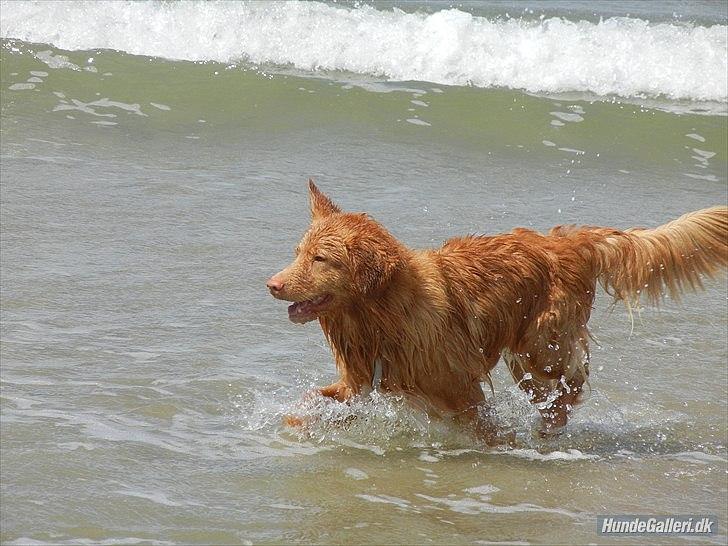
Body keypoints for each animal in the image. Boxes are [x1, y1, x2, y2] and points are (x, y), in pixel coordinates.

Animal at [268, 181, 728, 440]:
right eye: (299, 253)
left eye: (321, 260)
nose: (271, 284)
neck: (383, 315)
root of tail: (569, 241)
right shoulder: (361, 382)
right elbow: (314, 402)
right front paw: (297, 425)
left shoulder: (461, 389)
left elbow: (484, 426)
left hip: (539, 349)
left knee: (570, 387)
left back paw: (548, 429)